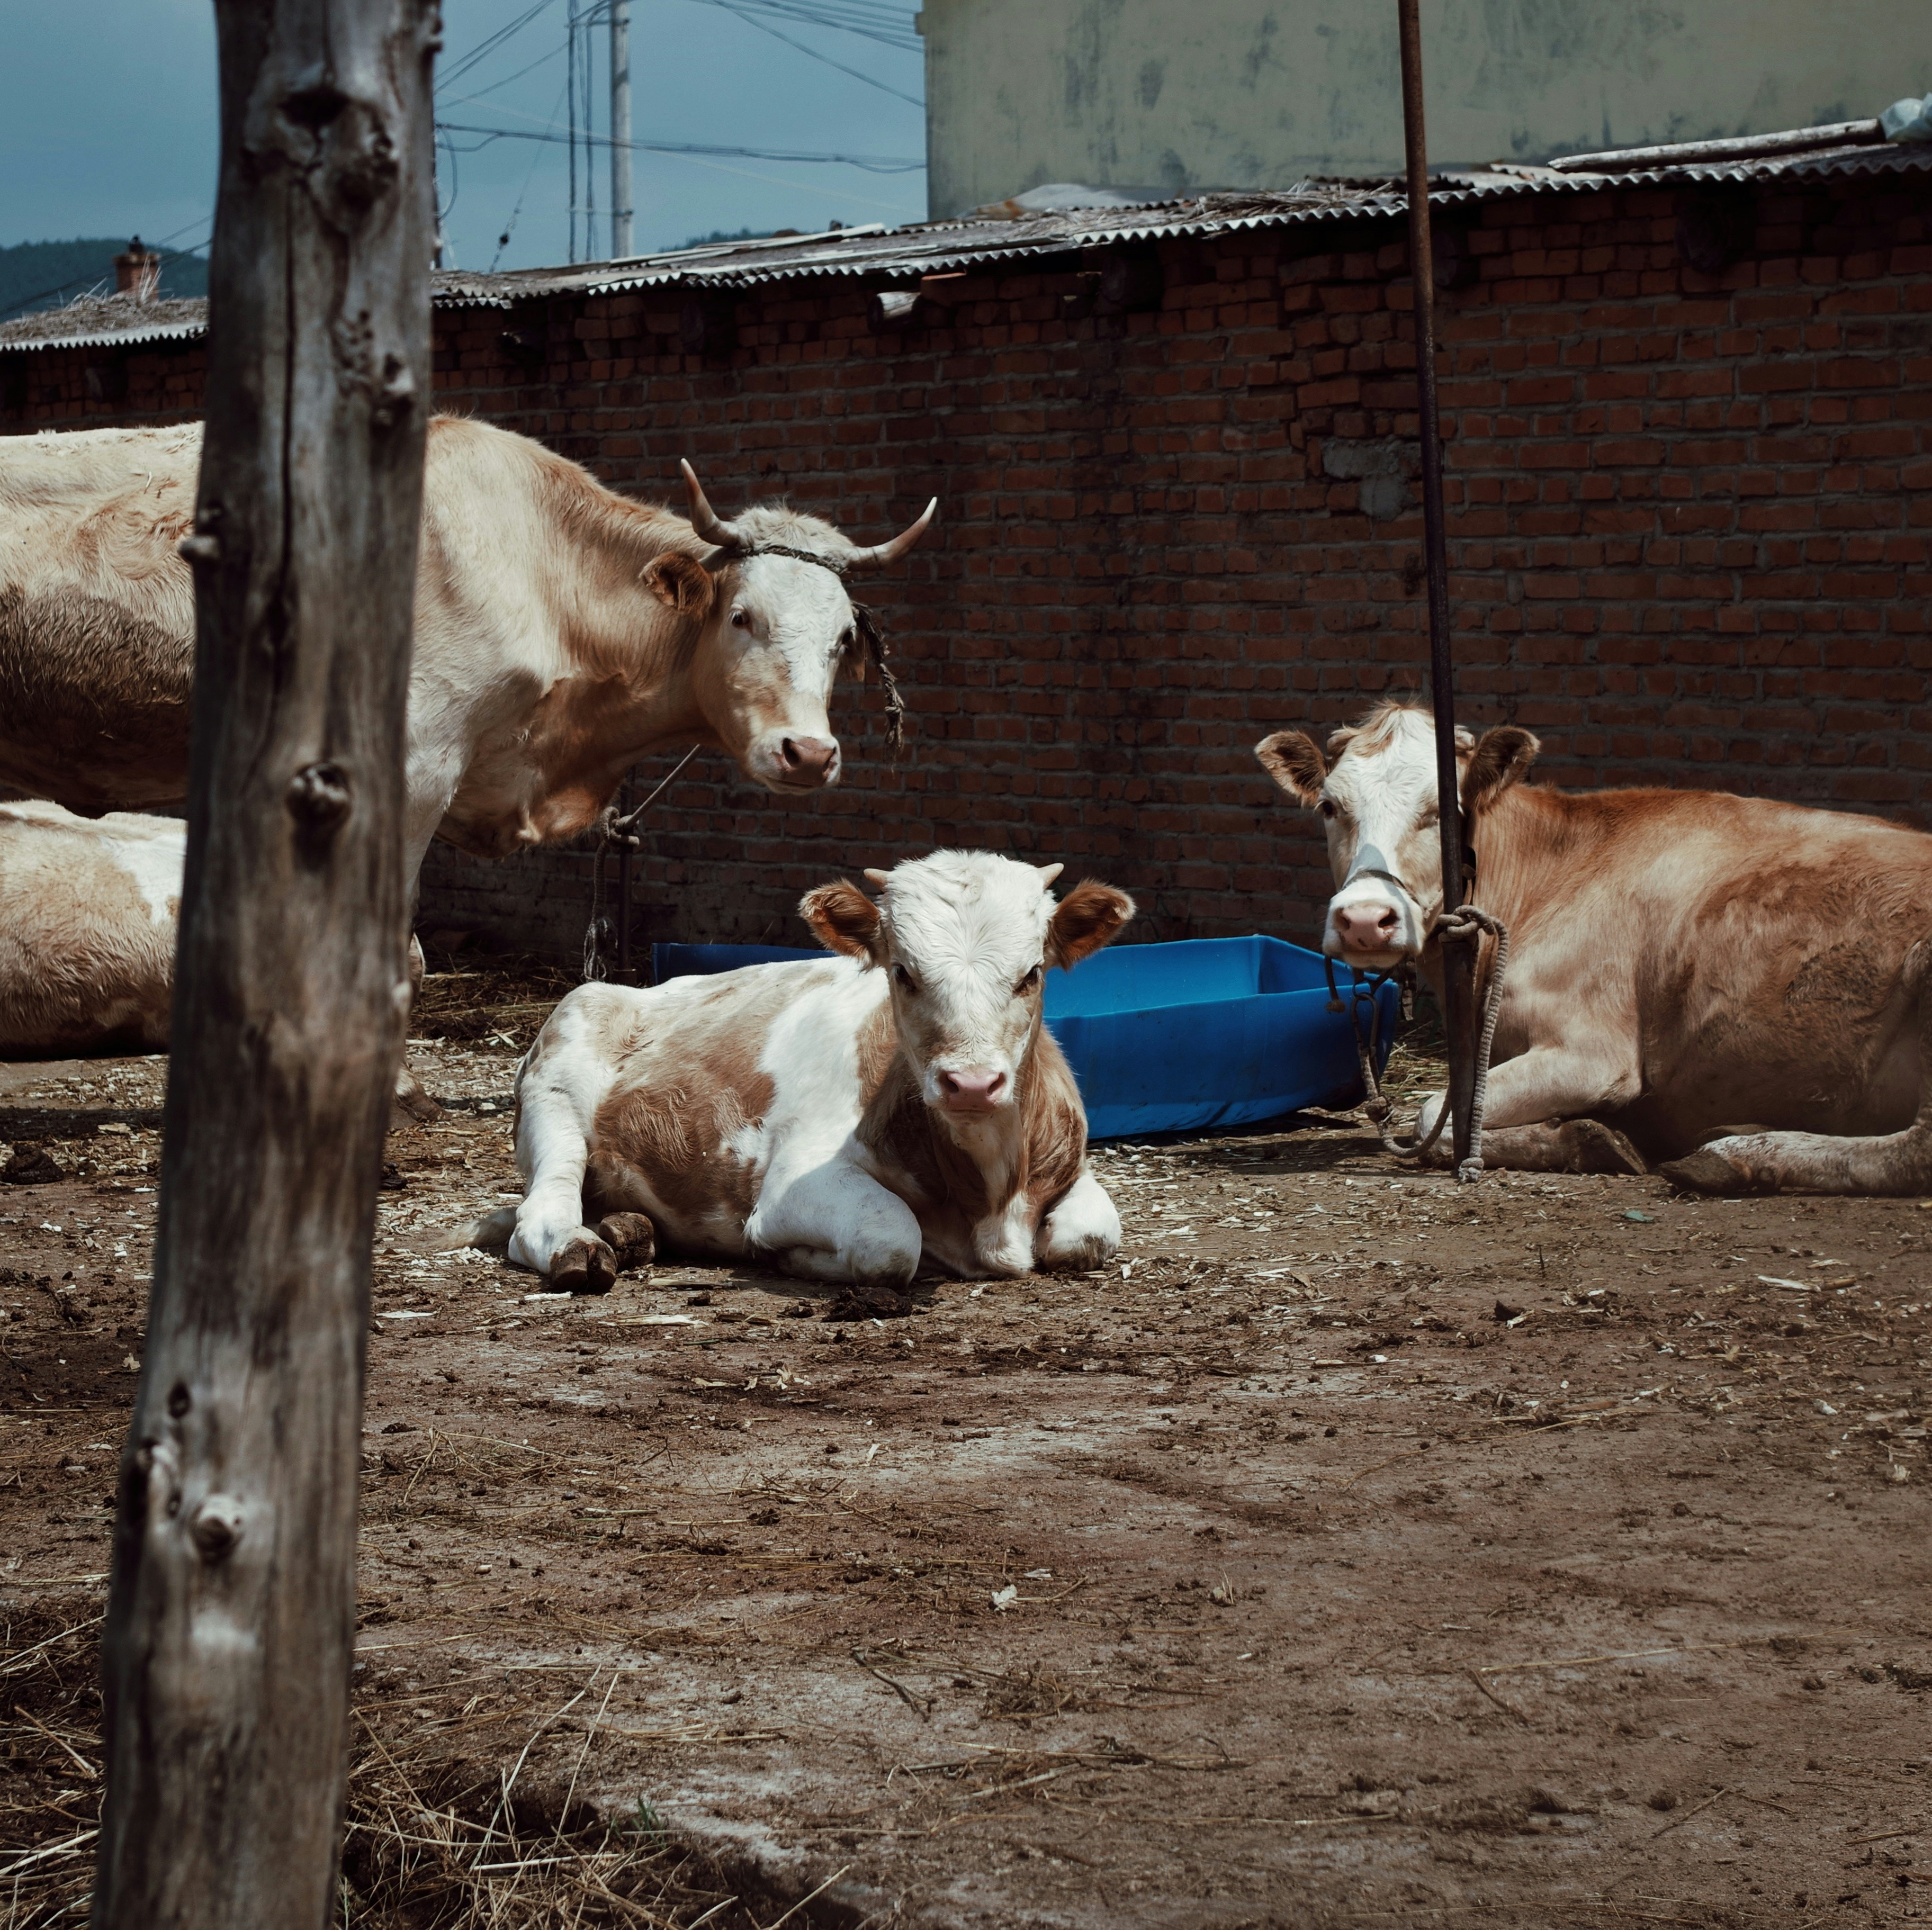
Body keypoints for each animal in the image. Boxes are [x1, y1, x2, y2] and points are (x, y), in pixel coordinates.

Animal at [471, 851, 1135, 1304]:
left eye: (1032, 974)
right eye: (903, 972)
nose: (971, 1084)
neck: (989, 1205)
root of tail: (624, 987)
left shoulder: (1071, 1167)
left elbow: (1090, 1234)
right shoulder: (790, 1186)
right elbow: (892, 1240)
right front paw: (799, 1259)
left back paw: (628, 1229)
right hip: (556, 1088)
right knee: (540, 1213)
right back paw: (580, 1246)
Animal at [1256, 700, 1932, 1196]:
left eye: (1441, 810)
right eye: (1329, 805)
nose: (1365, 920)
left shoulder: (1592, 1052)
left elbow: (1433, 1114)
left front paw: (1589, 1138)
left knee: (1917, 1151)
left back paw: (1734, 1154)